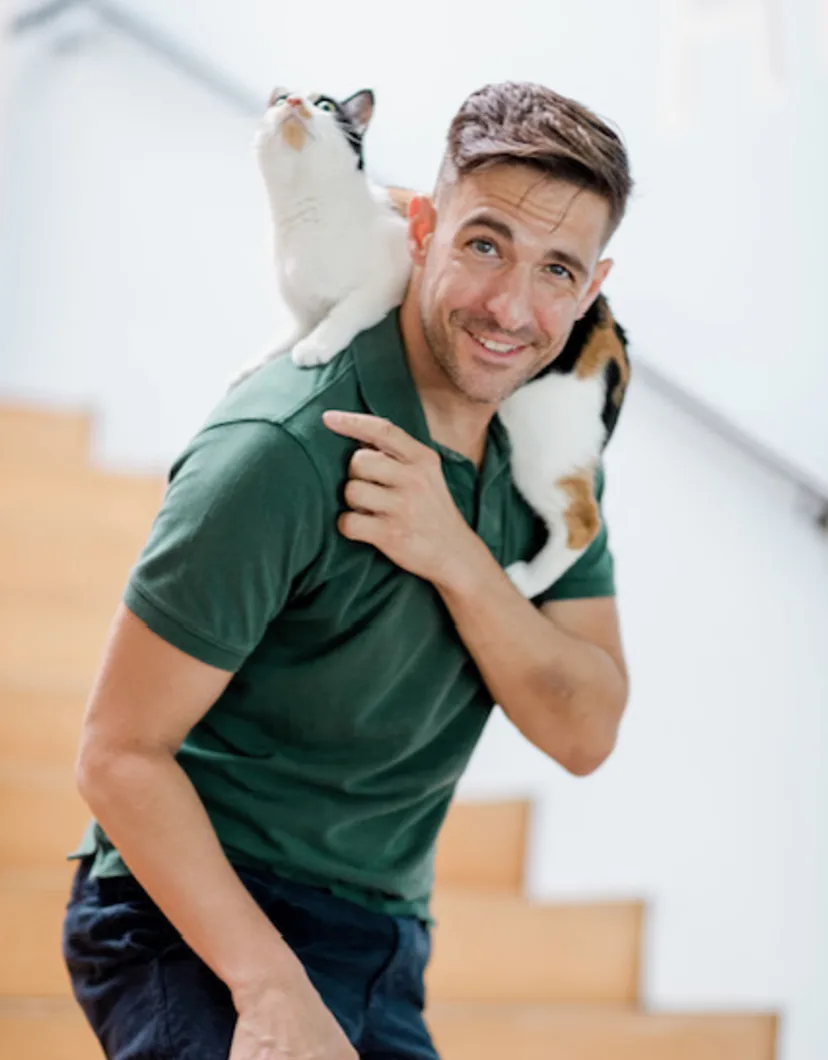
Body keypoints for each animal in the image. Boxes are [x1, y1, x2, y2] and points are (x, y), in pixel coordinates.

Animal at [232, 86, 627, 602]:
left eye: (325, 105)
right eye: (280, 99)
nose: (294, 101)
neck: (308, 214)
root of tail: (613, 335)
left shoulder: (393, 275)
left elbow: (347, 311)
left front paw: (318, 347)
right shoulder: (302, 311)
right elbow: (290, 332)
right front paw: (253, 365)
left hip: (544, 442)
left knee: (582, 520)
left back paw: (523, 580)